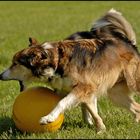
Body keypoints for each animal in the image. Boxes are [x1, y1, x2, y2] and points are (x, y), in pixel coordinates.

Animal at [0, 8, 139, 133]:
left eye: (15, 64)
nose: (0, 75)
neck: (57, 62)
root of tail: (129, 43)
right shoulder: (85, 91)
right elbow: (92, 111)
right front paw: (100, 129)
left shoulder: (84, 87)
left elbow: (62, 103)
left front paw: (48, 118)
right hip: (116, 94)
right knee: (136, 107)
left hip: (132, 83)